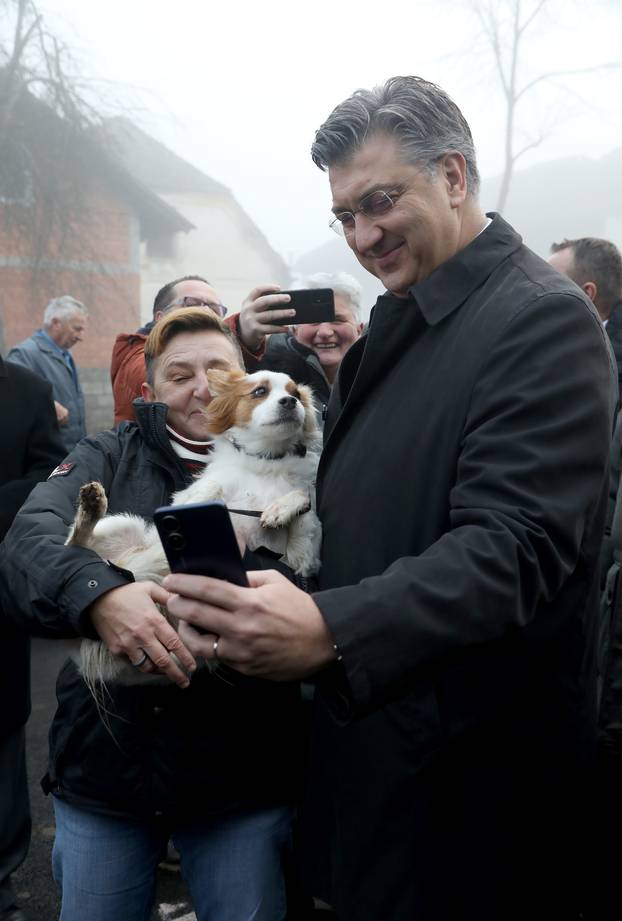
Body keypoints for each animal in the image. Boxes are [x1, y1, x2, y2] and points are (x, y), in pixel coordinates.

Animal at [67, 370, 322, 688]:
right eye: (260, 391)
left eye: (296, 394)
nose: (290, 401)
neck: (265, 461)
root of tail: (136, 571)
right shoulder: (194, 494)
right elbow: (207, 488)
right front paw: (202, 500)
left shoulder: (302, 562)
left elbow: (303, 501)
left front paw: (280, 509)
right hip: (122, 525)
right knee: (74, 543)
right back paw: (91, 506)